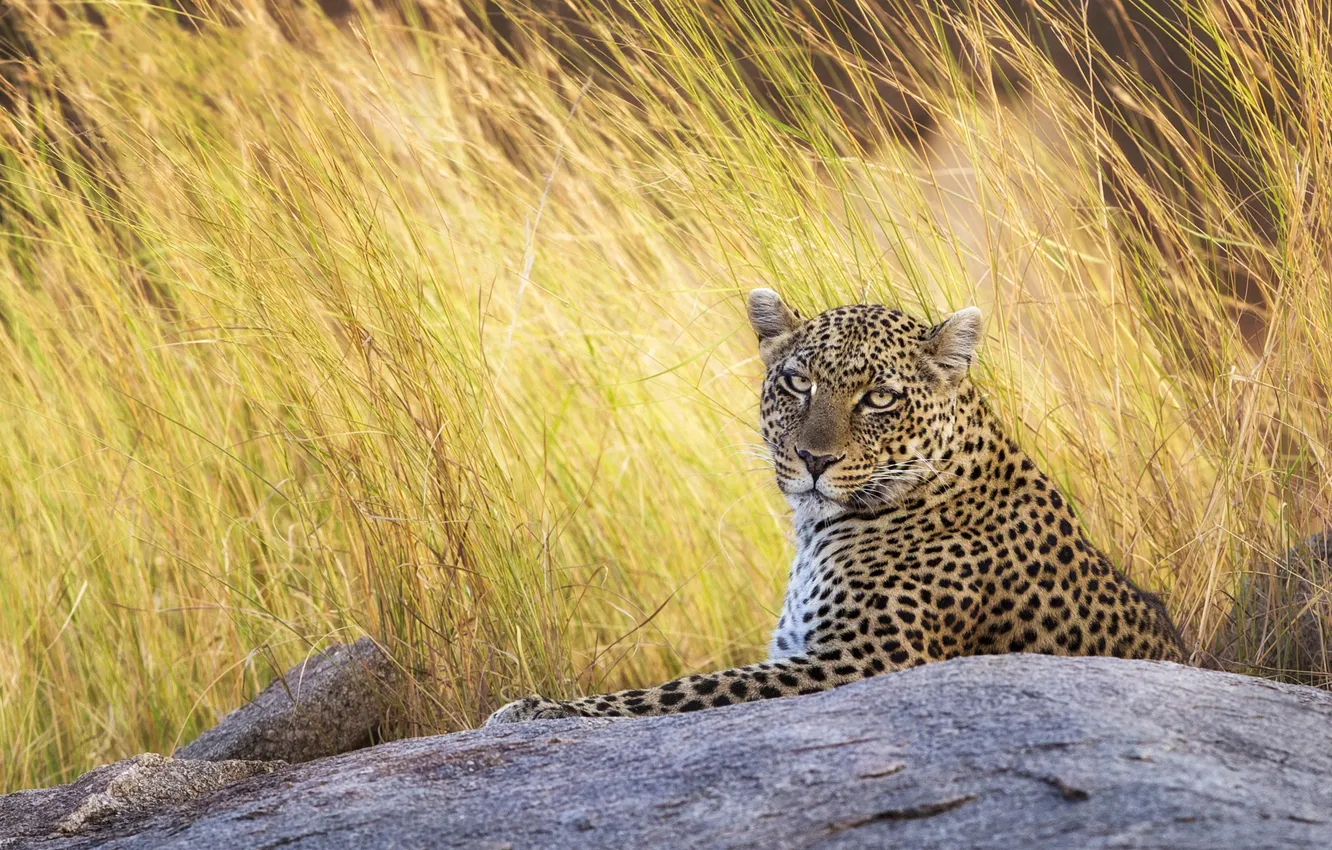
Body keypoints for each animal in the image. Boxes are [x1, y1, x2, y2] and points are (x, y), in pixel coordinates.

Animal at [485, 289, 1185, 725]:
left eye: (879, 397)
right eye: (798, 382)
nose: (813, 459)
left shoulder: (860, 661)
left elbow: (689, 688)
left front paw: (537, 709)